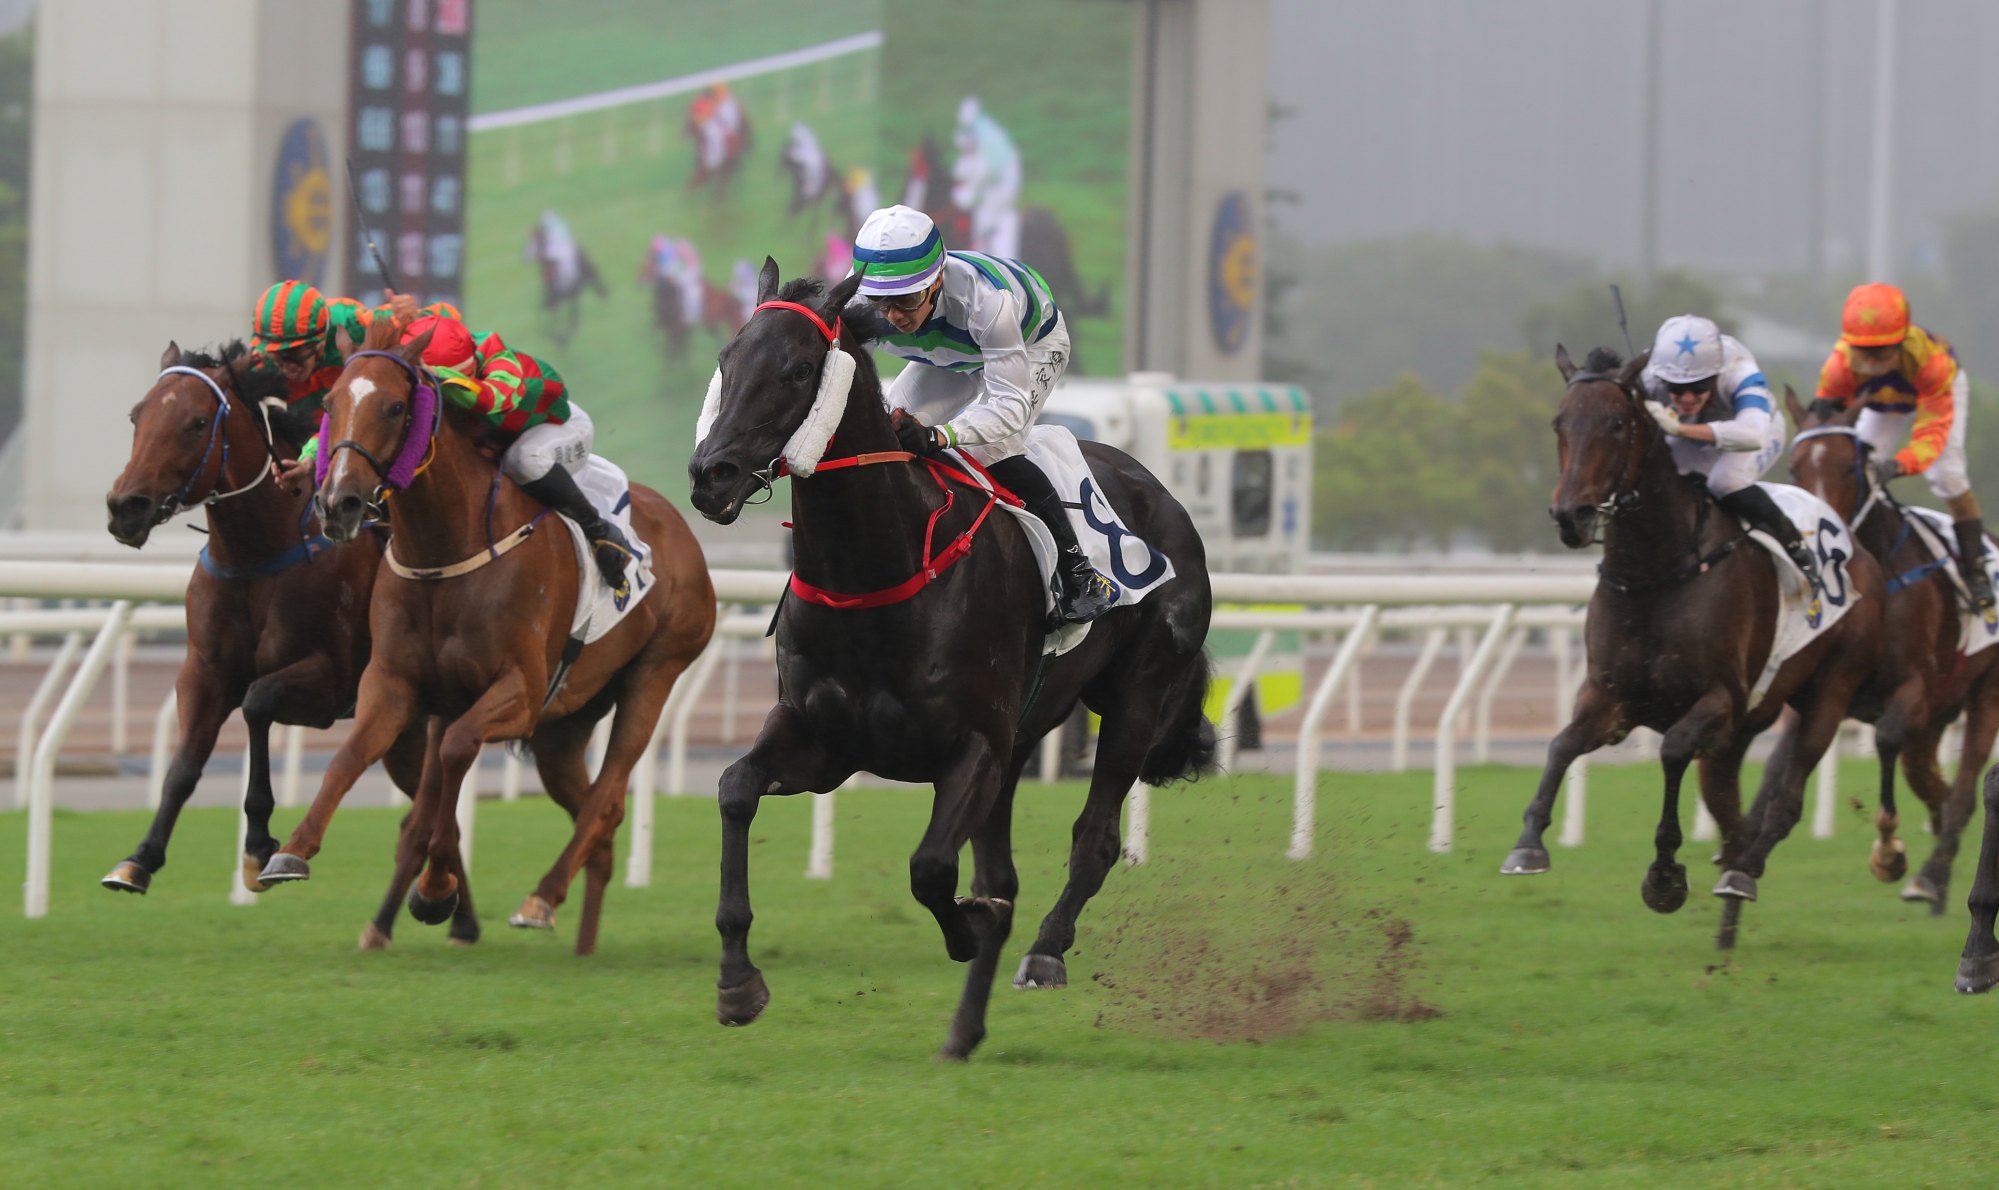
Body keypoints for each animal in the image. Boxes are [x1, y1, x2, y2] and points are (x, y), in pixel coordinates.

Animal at [102, 340, 479, 944]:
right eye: (138, 416)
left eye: (196, 422)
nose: (125, 506)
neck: (257, 553)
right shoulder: (203, 673)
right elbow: (182, 766)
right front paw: (139, 859)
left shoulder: (329, 683)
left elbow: (257, 704)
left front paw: (259, 849)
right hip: (401, 731)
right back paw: (456, 915)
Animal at [253, 316, 715, 960]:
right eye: (328, 404)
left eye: (396, 407)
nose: (337, 502)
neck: (445, 549)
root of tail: (681, 526)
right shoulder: (395, 683)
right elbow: (354, 756)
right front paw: (291, 852)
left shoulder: (518, 692)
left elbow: (453, 754)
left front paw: (435, 889)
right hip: (562, 728)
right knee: (594, 809)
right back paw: (582, 938)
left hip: (655, 673)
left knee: (607, 796)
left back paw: (542, 897)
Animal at [687, 264, 1215, 1064]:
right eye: (725, 359)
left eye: (798, 369)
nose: (709, 475)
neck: (876, 571)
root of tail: (1161, 494)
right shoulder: (823, 740)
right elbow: (733, 790)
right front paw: (737, 982)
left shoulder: (972, 746)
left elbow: (933, 868)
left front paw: (968, 926)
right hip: (1023, 738)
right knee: (1006, 871)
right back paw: (965, 1031)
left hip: (1134, 701)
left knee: (1093, 840)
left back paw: (1043, 953)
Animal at [1503, 344, 1879, 948]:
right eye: (1559, 423)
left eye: (1616, 424)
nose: (1571, 515)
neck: (1656, 571)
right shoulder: (1610, 698)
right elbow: (1561, 745)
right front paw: (1529, 844)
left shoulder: (1719, 699)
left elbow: (1673, 750)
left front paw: (1664, 875)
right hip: (1740, 732)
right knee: (1733, 818)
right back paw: (1728, 921)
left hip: (1827, 692)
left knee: (1785, 800)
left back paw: (1741, 878)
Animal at [1791, 392, 1991, 912]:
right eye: (1796, 466)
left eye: (1848, 467)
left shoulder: (1912, 686)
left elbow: (1884, 738)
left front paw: (1888, 851)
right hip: (1937, 715)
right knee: (1933, 783)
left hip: (1985, 694)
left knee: (1964, 786)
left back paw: (1932, 876)